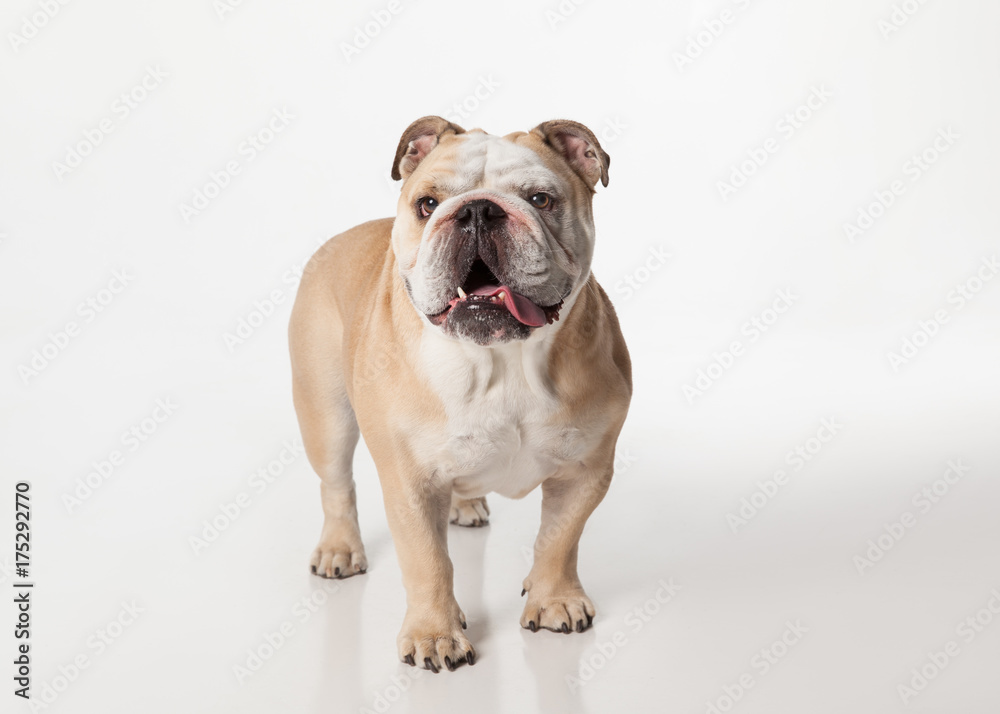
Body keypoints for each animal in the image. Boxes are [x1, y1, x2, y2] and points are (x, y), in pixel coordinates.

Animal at [290, 114, 632, 672]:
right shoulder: (409, 481)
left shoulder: (586, 470)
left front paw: (554, 599)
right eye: (427, 204)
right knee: (336, 484)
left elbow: (559, 539)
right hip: (326, 414)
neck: (502, 359)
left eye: (540, 199)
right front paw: (434, 634)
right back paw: (340, 549)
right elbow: (428, 560)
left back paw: (465, 506)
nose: (476, 210)